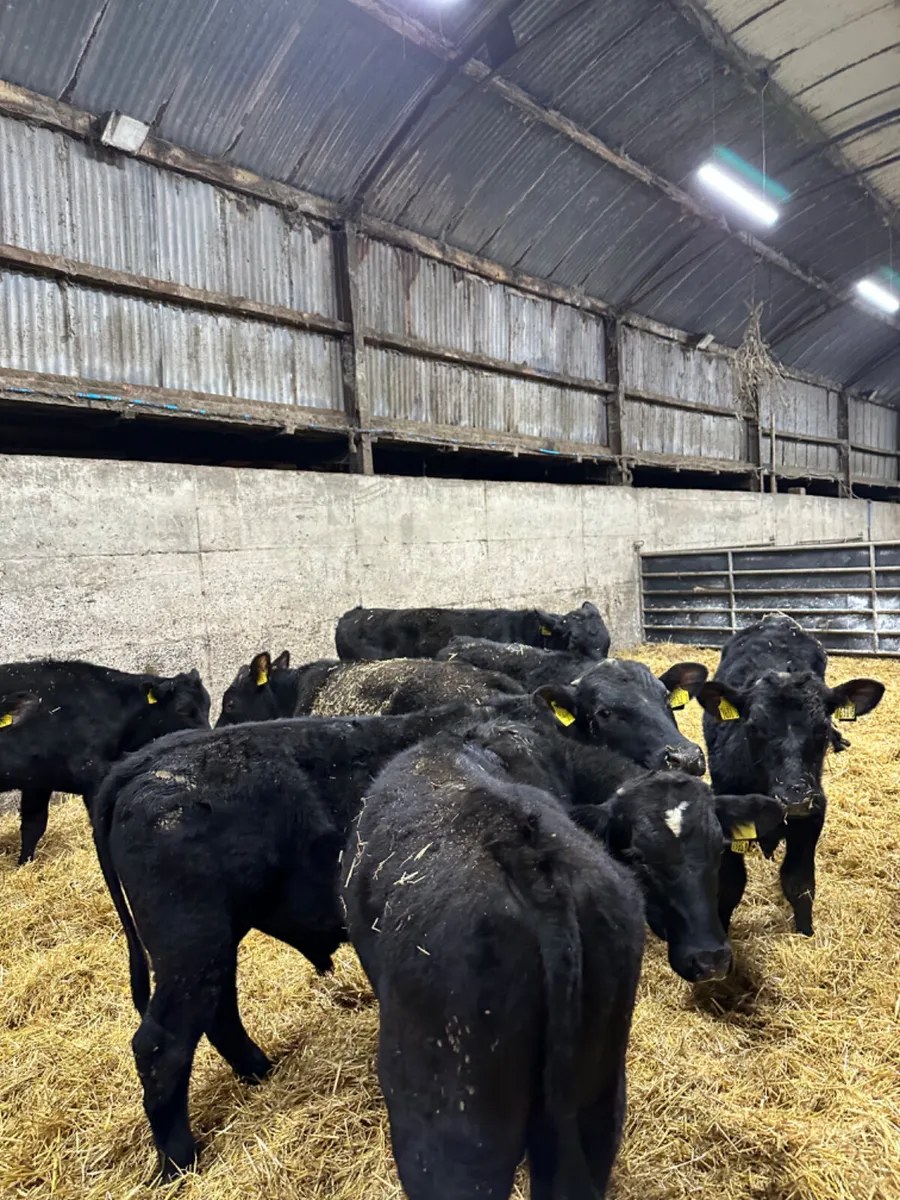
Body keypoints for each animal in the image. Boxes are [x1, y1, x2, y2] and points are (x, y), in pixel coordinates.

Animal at [0, 660, 210, 864]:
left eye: (207, 706)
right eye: (182, 710)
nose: (206, 735)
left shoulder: (38, 781)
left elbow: (33, 825)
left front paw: (24, 864)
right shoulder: (91, 773)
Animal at [698, 614, 885, 936]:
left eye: (823, 727)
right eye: (753, 727)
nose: (794, 798)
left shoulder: (813, 815)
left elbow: (799, 883)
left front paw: (805, 933)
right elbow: (730, 885)